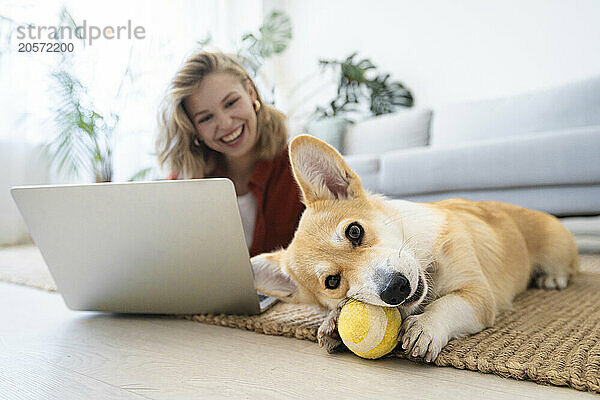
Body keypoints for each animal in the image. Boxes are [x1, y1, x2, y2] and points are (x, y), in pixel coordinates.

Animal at [251, 134, 580, 362]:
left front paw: (426, 327)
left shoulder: (477, 295)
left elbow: (447, 304)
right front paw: (332, 322)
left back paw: (552, 278)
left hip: (555, 249)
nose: (395, 288)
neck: (426, 265)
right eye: (332, 282)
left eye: (354, 231)